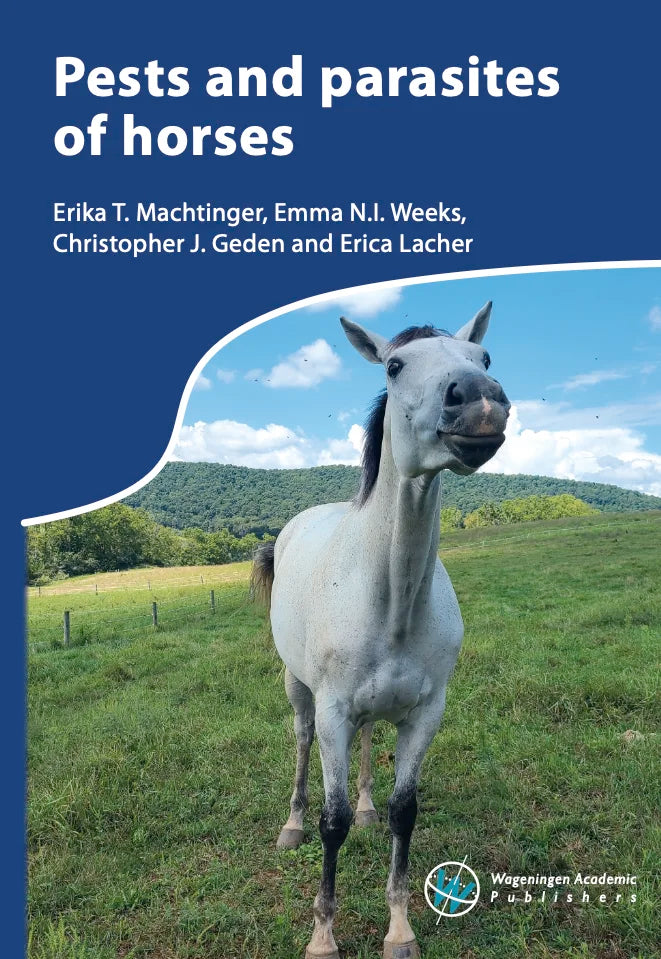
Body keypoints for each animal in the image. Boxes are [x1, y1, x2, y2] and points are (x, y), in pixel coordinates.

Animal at [251, 302, 510, 959]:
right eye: (394, 367)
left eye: (483, 358)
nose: (479, 400)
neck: (390, 599)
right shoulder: (333, 711)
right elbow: (333, 822)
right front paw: (323, 934)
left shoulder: (425, 713)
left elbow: (404, 811)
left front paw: (399, 927)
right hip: (299, 690)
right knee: (300, 743)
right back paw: (290, 824)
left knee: (370, 744)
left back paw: (366, 807)